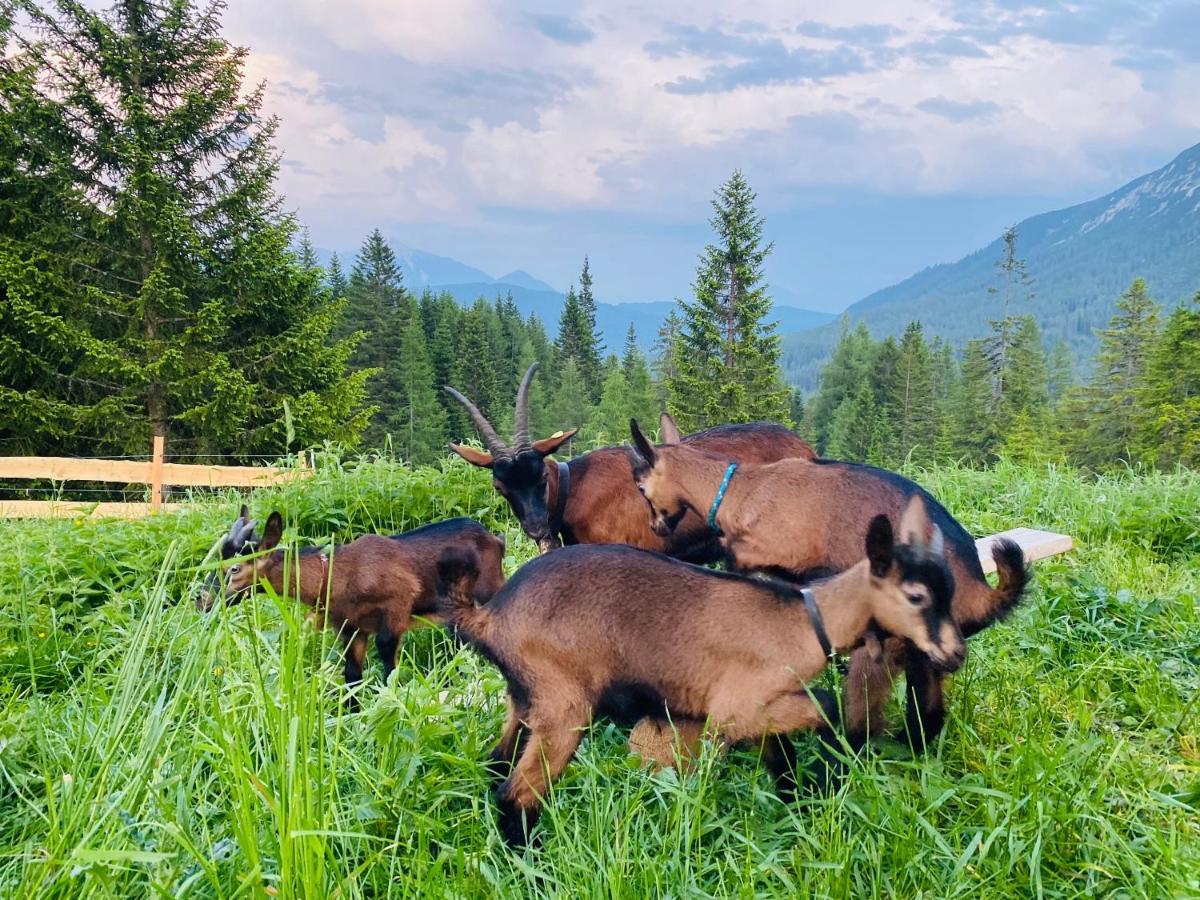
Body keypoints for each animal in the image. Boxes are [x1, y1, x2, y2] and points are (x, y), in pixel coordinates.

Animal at [194, 508, 504, 696]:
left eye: (235, 568)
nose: (201, 599)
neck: (339, 575)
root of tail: (496, 539)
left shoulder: (398, 604)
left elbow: (388, 665)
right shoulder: (349, 627)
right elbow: (351, 674)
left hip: (489, 591)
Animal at [436, 496, 969, 849]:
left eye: (947, 591)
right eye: (917, 596)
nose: (955, 654)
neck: (805, 620)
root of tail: (490, 616)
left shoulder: (761, 709)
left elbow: (781, 756)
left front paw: (799, 803)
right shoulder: (735, 711)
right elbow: (825, 708)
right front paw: (827, 778)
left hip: (525, 700)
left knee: (496, 763)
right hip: (563, 706)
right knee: (517, 794)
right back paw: (530, 860)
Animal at [628, 422, 1032, 753]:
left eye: (641, 486)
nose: (656, 528)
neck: (741, 491)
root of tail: (981, 591)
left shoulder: (771, 560)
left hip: (883, 651)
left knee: (862, 724)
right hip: (928, 657)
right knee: (928, 718)